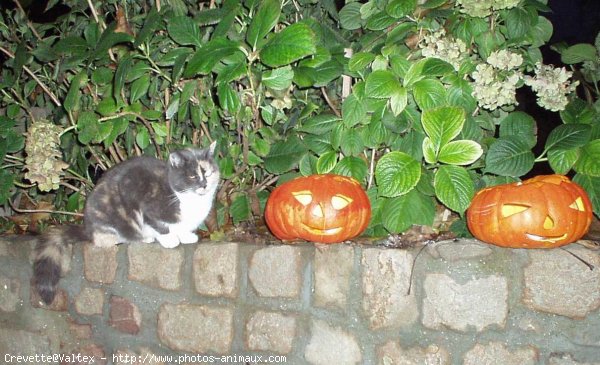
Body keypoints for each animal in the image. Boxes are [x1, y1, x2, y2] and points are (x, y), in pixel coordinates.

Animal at [32, 141, 220, 302]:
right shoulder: (148, 206)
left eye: (208, 173)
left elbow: (181, 228)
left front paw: (186, 236)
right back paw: (141, 238)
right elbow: (160, 226)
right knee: (107, 239)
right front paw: (169, 240)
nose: (204, 185)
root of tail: (86, 228)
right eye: (192, 176)